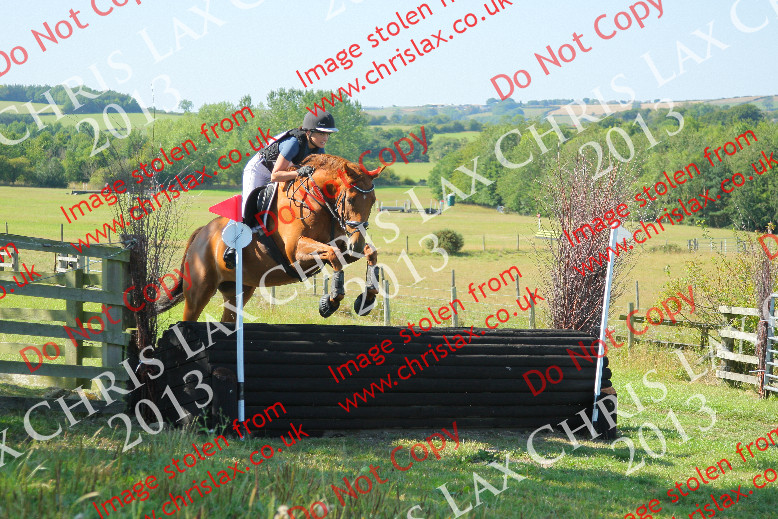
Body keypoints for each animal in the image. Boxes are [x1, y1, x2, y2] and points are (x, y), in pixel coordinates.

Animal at [156, 154, 385, 322]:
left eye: (373, 201)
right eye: (351, 199)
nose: (357, 242)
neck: (318, 201)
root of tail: (201, 233)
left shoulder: (340, 244)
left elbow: (370, 253)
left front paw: (367, 299)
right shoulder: (295, 252)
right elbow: (333, 254)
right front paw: (330, 301)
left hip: (239, 291)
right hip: (199, 291)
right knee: (189, 318)